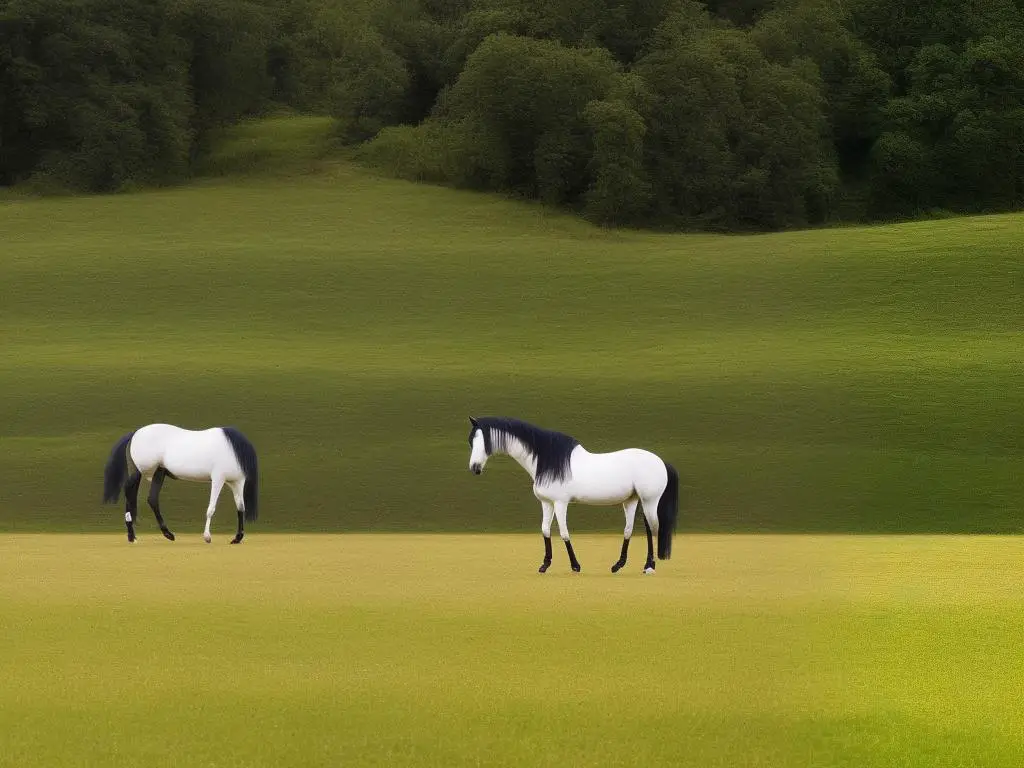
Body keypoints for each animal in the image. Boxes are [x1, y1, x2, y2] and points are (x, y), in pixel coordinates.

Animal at [102, 423, 260, 544]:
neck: (233, 450)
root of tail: (135, 433)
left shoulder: (237, 482)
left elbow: (240, 507)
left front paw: (237, 538)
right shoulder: (218, 478)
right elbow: (211, 508)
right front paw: (207, 537)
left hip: (158, 473)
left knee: (151, 499)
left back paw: (167, 534)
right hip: (140, 471)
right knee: (130, 492)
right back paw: (131, 536)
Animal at [466, 417, 679, 573]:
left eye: (484, 441)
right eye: (470, 441)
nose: (474, 468)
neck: (547, 460)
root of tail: (661, 462)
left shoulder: (561, 503)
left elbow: (564, 532)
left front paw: (575, 565)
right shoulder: (546, 503)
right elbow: (545, 530)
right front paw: (545, 565)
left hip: (649, 501)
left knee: (653, 528)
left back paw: (649, 566)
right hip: (632, 500)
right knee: (631, 530)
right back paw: (618, 565)